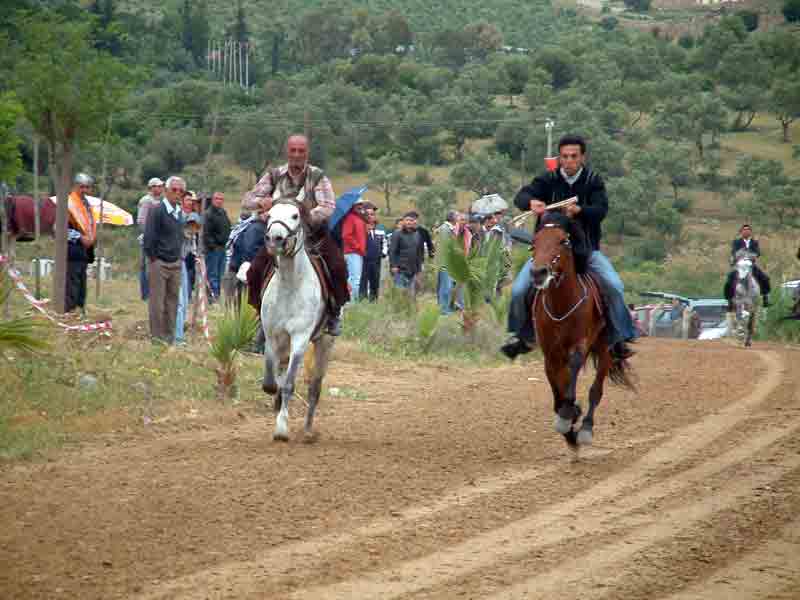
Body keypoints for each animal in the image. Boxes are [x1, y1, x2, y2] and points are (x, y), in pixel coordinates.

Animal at [262, 202, 334, 440]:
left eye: (295, 215)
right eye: (269, 215)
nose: (275, 238)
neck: (290, 285)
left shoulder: (300, 339)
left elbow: (289, 384)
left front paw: (282, 429)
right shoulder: (272, 335)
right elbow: (271, 382)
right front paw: (276, 403)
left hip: (324, 342)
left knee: (314, 387)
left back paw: (308, 430)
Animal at [528, 213, 636, 448]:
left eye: (563, 241)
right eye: (534, 242)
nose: (538, 272)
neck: (562, 305)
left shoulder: (580, 343)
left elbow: (575, 368)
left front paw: (568, 414)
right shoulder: (550, 353)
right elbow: (557, 387)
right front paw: (568, 423)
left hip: (605, 348)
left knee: (596, 390)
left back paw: (586, 428)